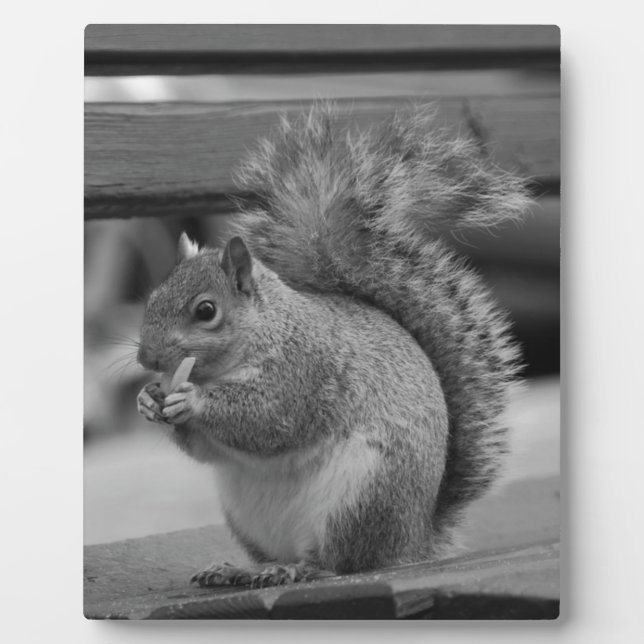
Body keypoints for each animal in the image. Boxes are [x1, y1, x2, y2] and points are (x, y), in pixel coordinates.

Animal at [136, 104, 530, 588]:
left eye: (205, 310)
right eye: (151, 298)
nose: (146, 358)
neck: (267, 330)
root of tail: (412, 541)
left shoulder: (305, 370)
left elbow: (268, 420)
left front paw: (191, 398)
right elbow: (206, 450)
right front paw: (148, 399)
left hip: (361, 495)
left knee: (339, 562)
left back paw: (297, 569)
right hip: (247, 514)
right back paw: (240, 569)